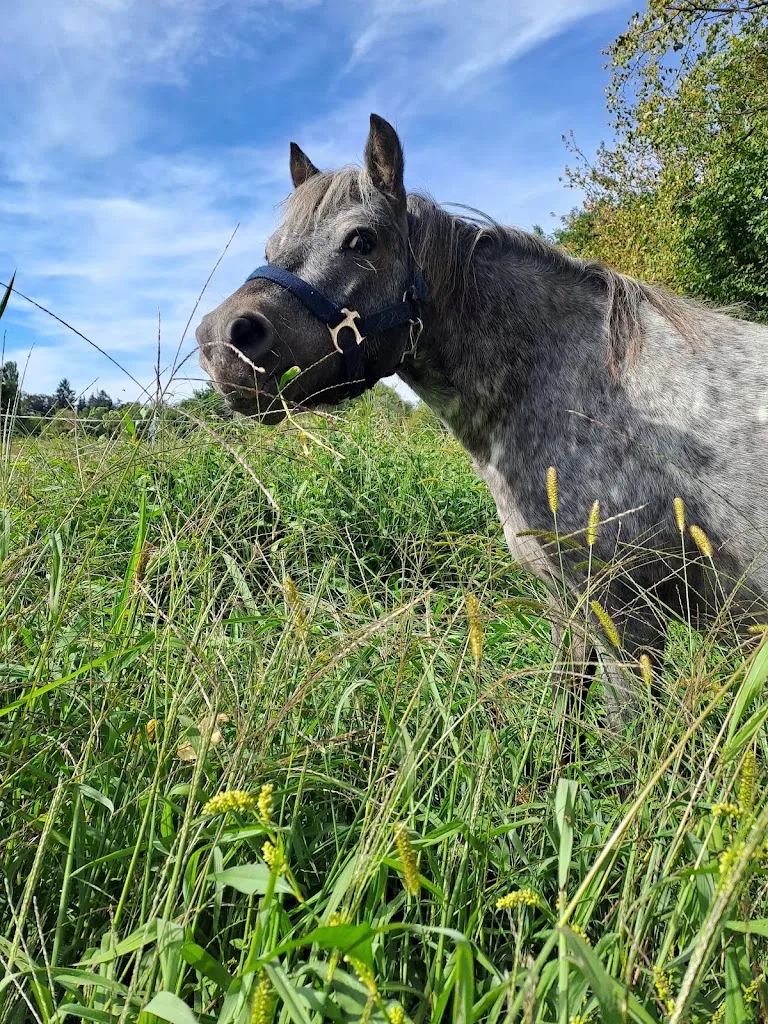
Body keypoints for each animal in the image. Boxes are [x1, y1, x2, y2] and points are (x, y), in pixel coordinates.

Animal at [196, 113, 768, 727]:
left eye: (361, 240)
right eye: (271, 247)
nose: (221, 342)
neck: (577, 382)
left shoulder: (626, 620)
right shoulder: (570, 609)